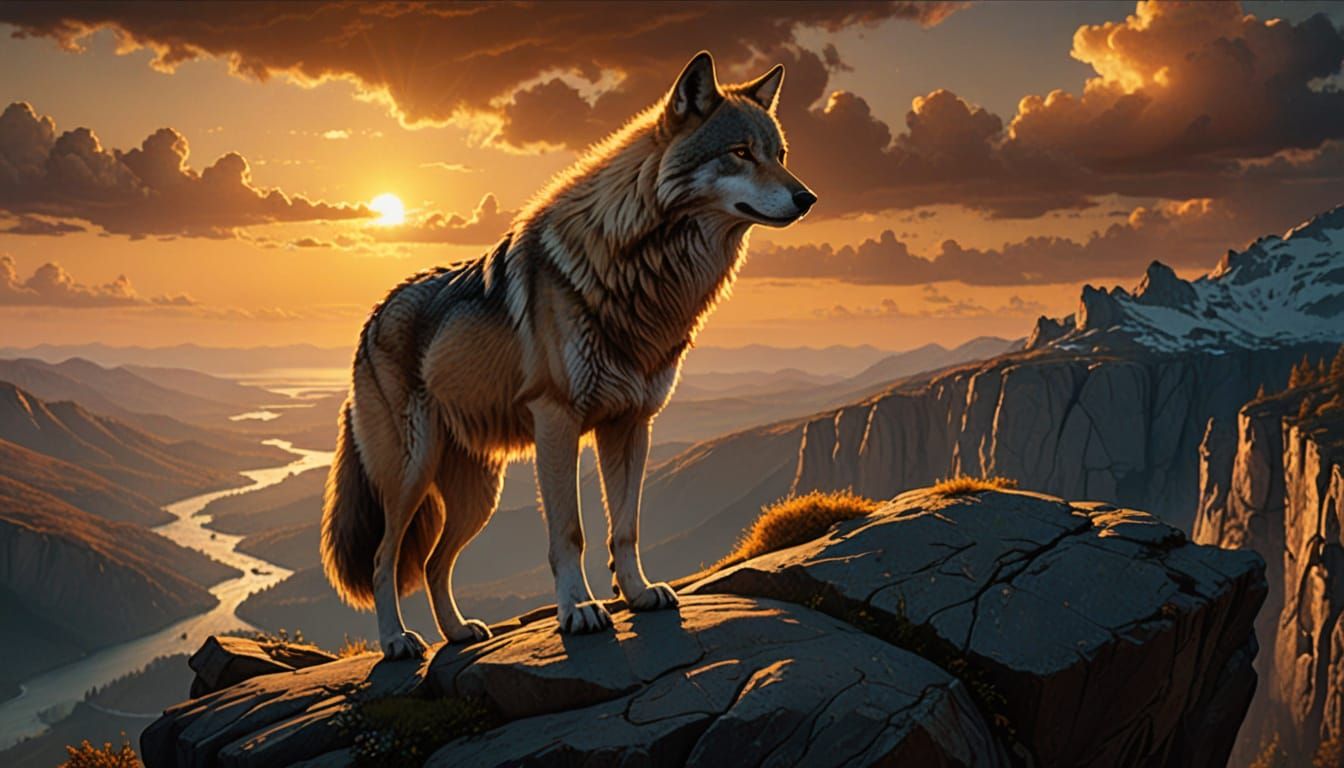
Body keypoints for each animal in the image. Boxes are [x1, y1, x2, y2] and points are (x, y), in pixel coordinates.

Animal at [321, 51, 816, 659]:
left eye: (780, 155)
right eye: (741, 152)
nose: (808, 198)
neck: (643, 273)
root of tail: (372, 317)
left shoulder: (632, 423)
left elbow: (625, 525)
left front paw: (638, 593)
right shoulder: (557, 423)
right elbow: (570, 533)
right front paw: (578, 609)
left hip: (479, 494)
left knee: (436, 563)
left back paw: (458, 632)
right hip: (411, 475)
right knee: (383, 558)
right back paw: (397, 640)